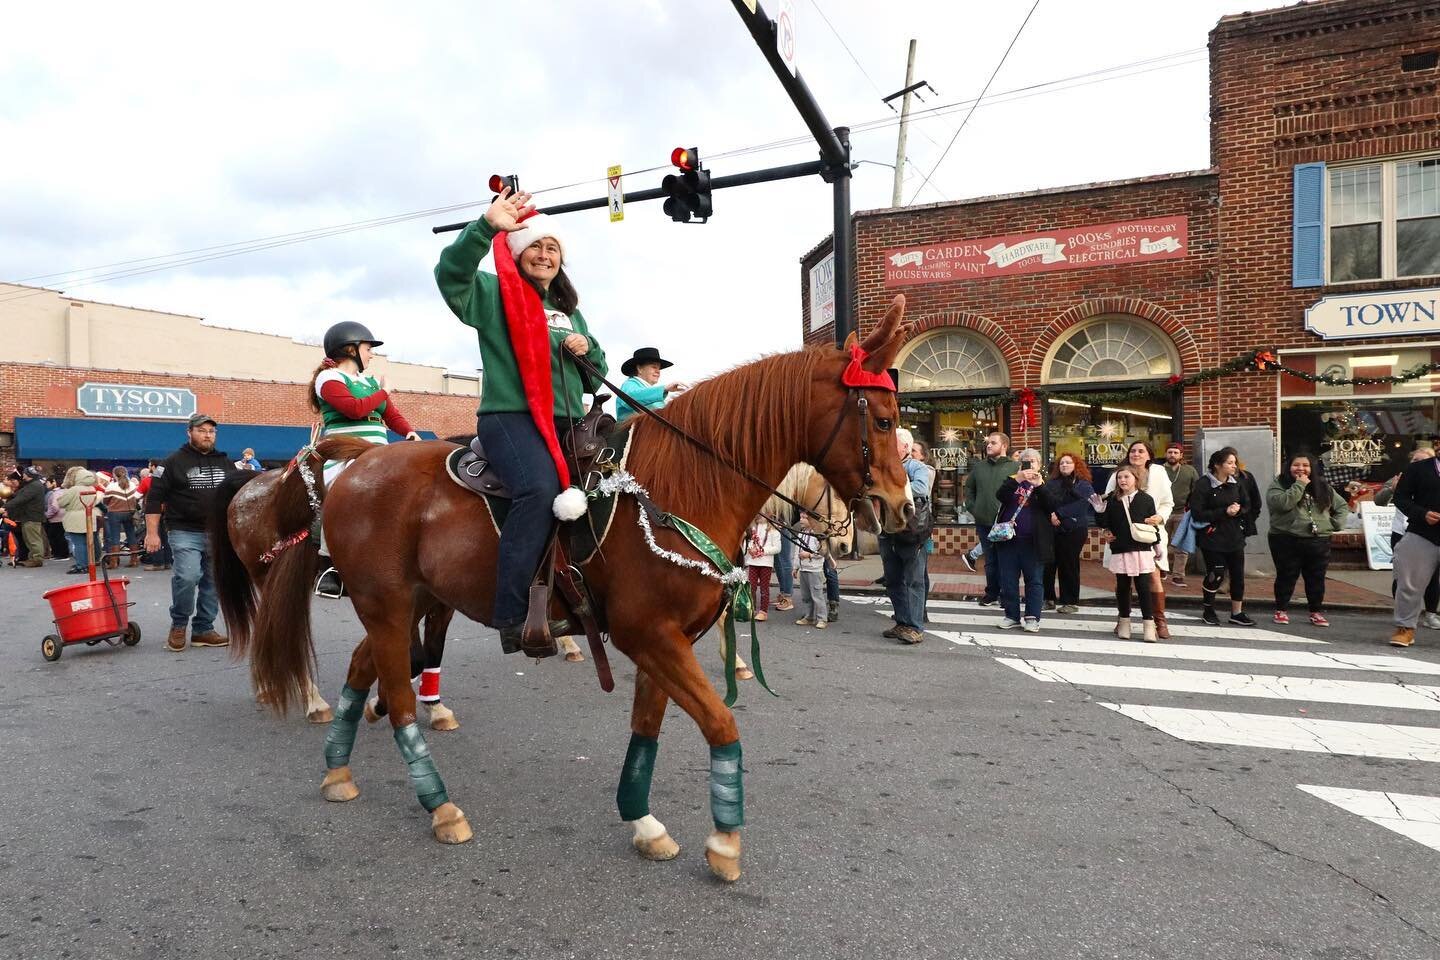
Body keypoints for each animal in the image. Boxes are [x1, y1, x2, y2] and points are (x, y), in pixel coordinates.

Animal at [213, 295, 910, 886]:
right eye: (882, 419)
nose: (904, 510)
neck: (677, 487)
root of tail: (353, 466)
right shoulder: (648, 635)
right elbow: (721, 724)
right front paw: (725, 842)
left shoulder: (666, 640)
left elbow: (647, 728)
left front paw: (643, 821)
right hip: (386, 606)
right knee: (399, 697)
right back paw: (440, 805)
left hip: (404, 605)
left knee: (367, 670)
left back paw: (338, 770)